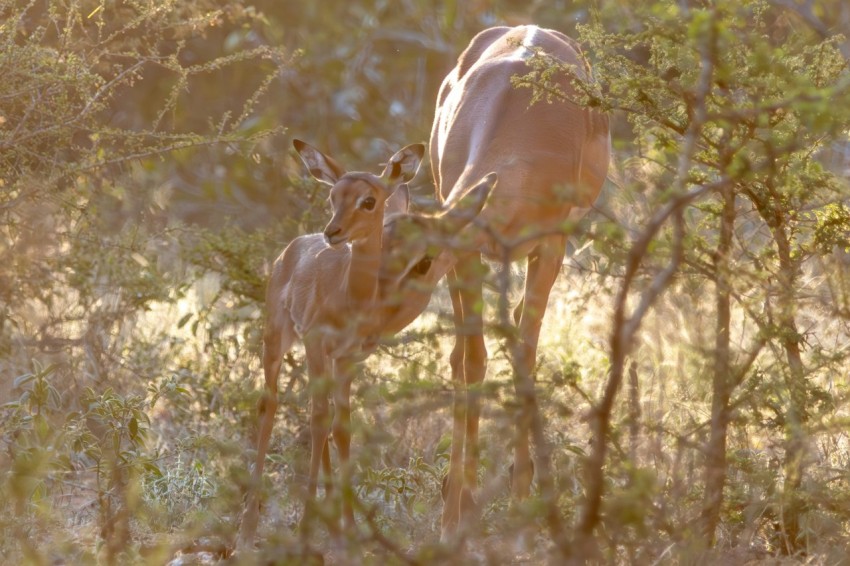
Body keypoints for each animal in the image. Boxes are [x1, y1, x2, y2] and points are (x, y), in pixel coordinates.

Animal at [235, 139, 494, 552]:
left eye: (368, 199)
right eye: (332, 195)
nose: (333, 232)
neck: (350, 294)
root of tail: (291, 248)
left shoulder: (347, 359)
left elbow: (341, 429)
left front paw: (348, 533)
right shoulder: (317, 343)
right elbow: (318, 421)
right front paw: (307, 532)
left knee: (319, 419)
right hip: (277, 339)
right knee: (270, 405)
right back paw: (246, 532)